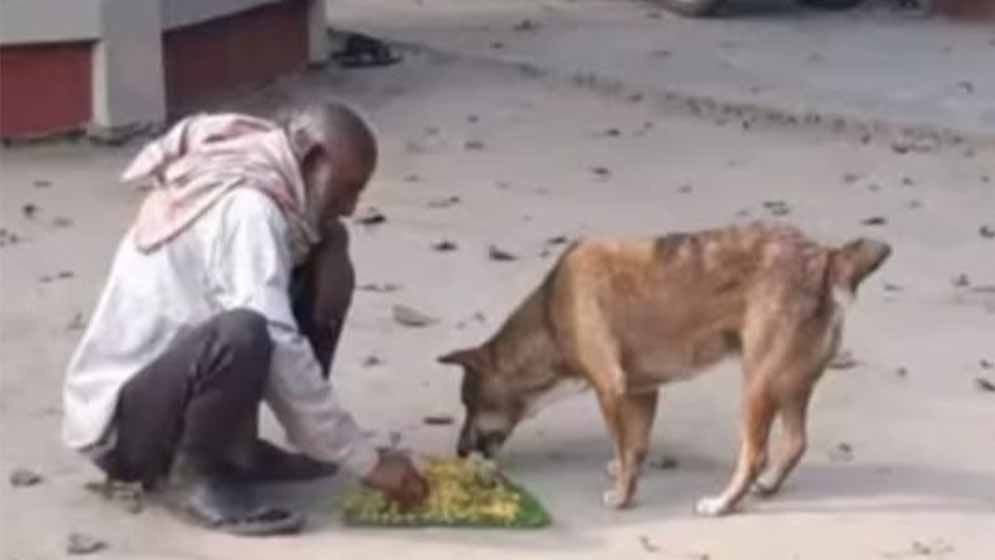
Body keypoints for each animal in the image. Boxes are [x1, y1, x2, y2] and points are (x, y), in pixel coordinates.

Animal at [440, 222, 892, 516]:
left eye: (469, 404)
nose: (459, 451)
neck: (549, 315)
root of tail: (825, 257)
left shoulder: (610, 388)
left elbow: (623, 445)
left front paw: (622, 496)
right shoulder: (642, 391)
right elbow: (633, 446)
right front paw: (626, 469)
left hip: (758, 384)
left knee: (755, 454)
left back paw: (723, 503)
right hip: (792, 383)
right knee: (796, 442)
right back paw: (767, 485)